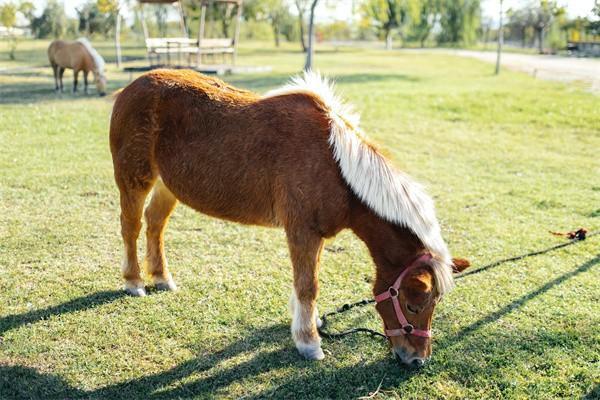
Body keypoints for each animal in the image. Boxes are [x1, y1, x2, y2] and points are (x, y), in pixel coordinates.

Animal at [110, 70, 472, 368]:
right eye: (413, 305)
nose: (417, 359)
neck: (335, 164)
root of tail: (130, 88)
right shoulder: (302, 232)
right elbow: (307, 286)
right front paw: (309, 343)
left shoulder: (316, 235)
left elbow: (306, 284)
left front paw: (310, 326)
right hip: (135, 179)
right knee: (132, 226)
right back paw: (134, 281)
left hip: (167, 186)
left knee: (155, 224)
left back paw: (161, 277)